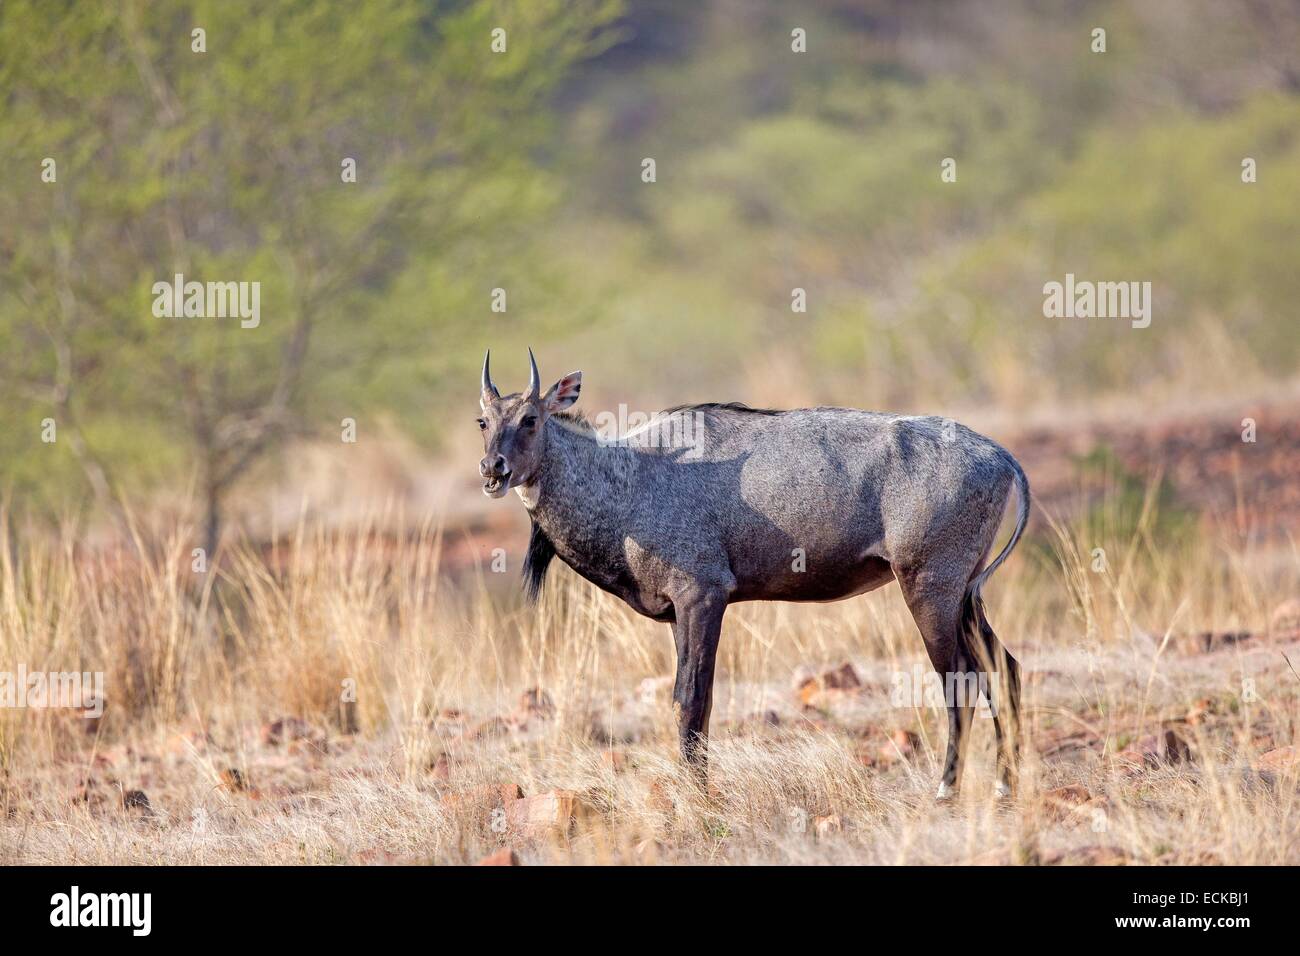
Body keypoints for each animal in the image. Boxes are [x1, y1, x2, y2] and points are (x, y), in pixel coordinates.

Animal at [473, 351, 1029, 801]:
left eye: (530, 418)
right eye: (483, 420)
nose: (493, 470)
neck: (626, 478)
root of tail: (1001, 457)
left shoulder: (703, 596)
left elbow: (691, 700)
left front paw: (699, 798)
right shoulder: (679, 613)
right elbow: (696, 703)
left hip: (929, 586)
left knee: (962, 679)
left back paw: (947, 792)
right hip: (964, 594)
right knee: (1005, 666)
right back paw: (1005, 786)